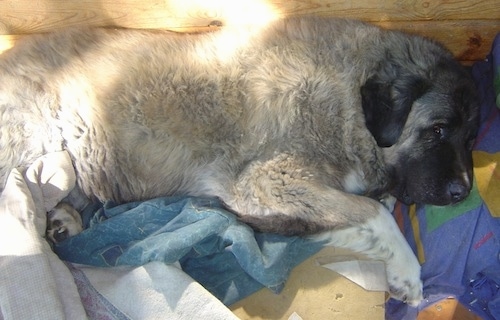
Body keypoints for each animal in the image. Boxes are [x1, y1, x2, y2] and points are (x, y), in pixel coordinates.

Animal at [0, 16, 476, 304]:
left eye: (470, 138)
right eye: (436, 130)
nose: (463, 192)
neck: (348, 101)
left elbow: (367, 210)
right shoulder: (265, 181)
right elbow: (374, 213)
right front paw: (407, 272)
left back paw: (64, 221)